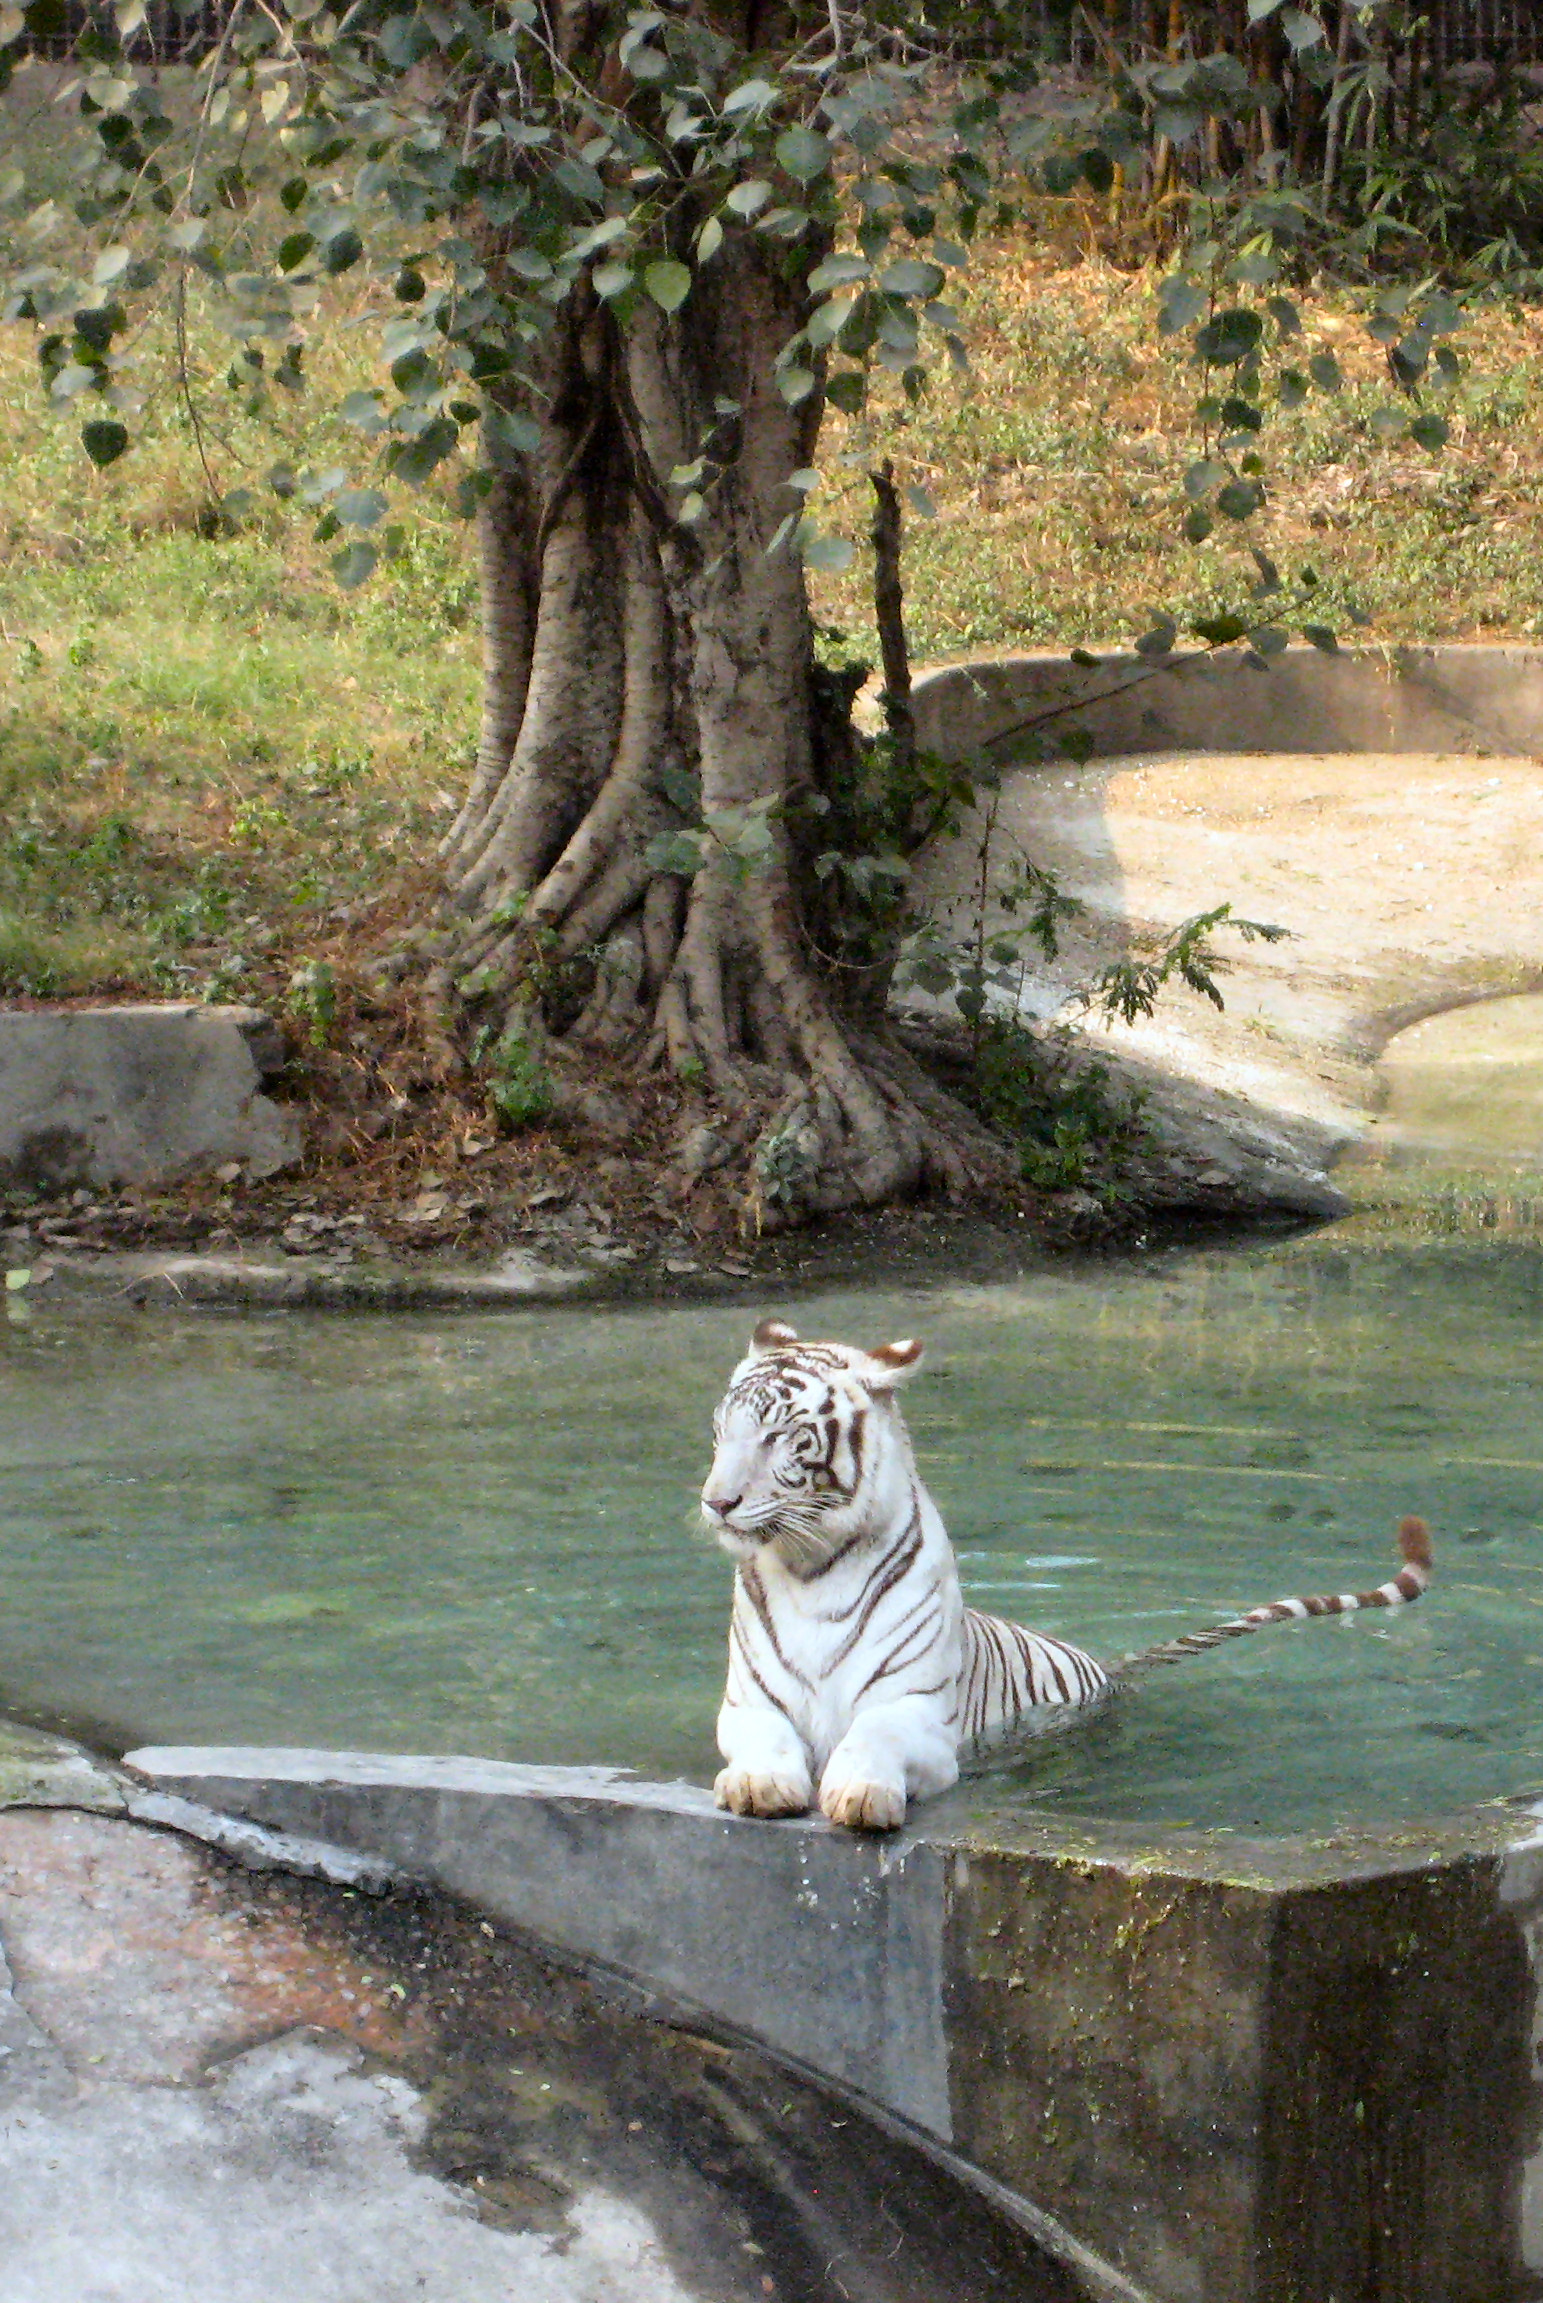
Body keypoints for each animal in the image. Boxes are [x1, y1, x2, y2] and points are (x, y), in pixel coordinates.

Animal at [700, 1317, 1437, 1833]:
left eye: (778, 1436)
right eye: (721, 1432)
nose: (716, 1501)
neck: (811, 1567)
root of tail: (1107, 1669)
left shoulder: (917, 1712)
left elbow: (871, 1736)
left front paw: (860, 1792)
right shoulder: (747, 1706)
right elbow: (762, 1741)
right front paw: (758, 1785)